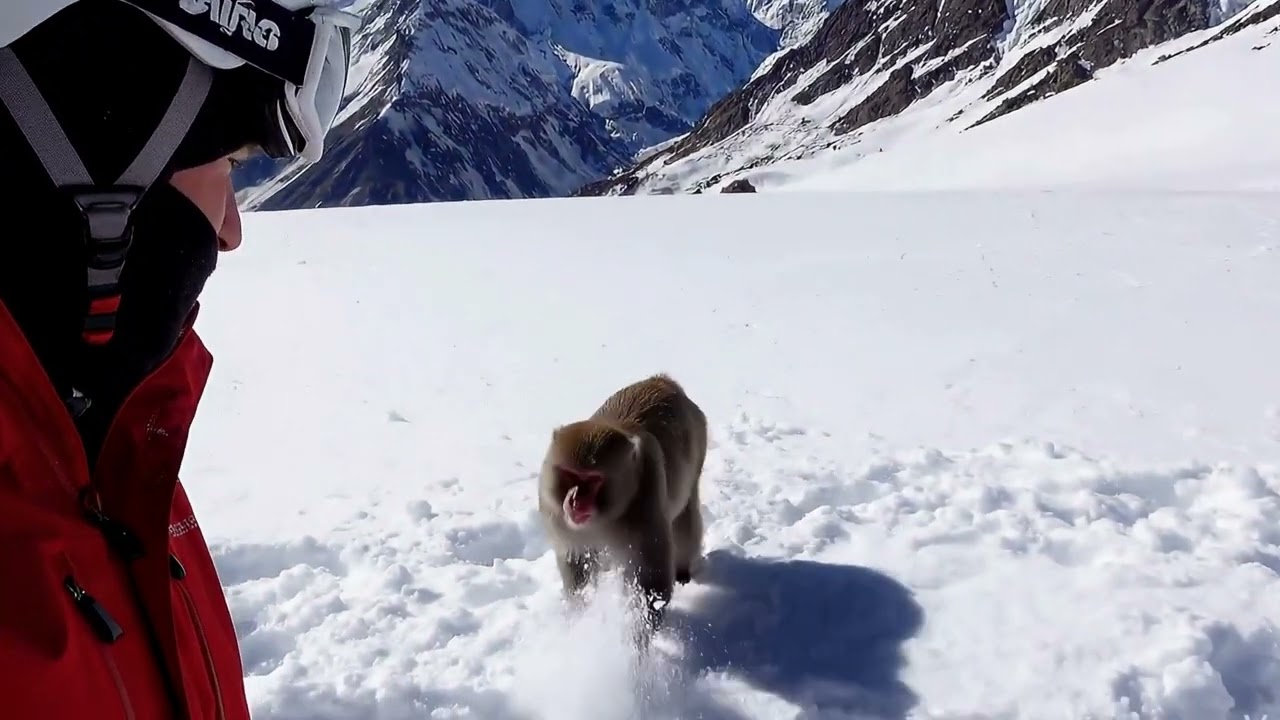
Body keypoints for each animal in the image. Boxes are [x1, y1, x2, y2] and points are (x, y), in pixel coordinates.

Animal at [537, 373, 708, 633]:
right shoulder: (556, 514)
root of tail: (662, 381)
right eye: (570, 475)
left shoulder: (645, 504)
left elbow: (651, 583)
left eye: (593, 479)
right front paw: (577, 616)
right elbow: (577, 562)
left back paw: (682, 570)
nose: (575, 502)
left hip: (699, 444)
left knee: (684, 519)